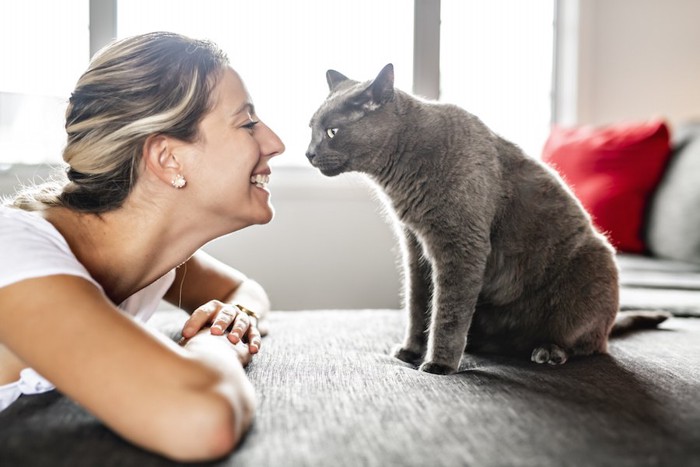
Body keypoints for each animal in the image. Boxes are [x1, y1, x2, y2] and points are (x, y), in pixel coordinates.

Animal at [304, 64, 668, 374]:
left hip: (595, 265)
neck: (400, 176)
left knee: (590, 344)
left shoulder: (460, 246)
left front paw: (438, 365)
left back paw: (549, 350)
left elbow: (447, 312)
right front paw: (410, 351)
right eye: (311, 129)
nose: (308, 153)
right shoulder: (414, 248)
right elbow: (417, 304)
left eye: (332, 131)